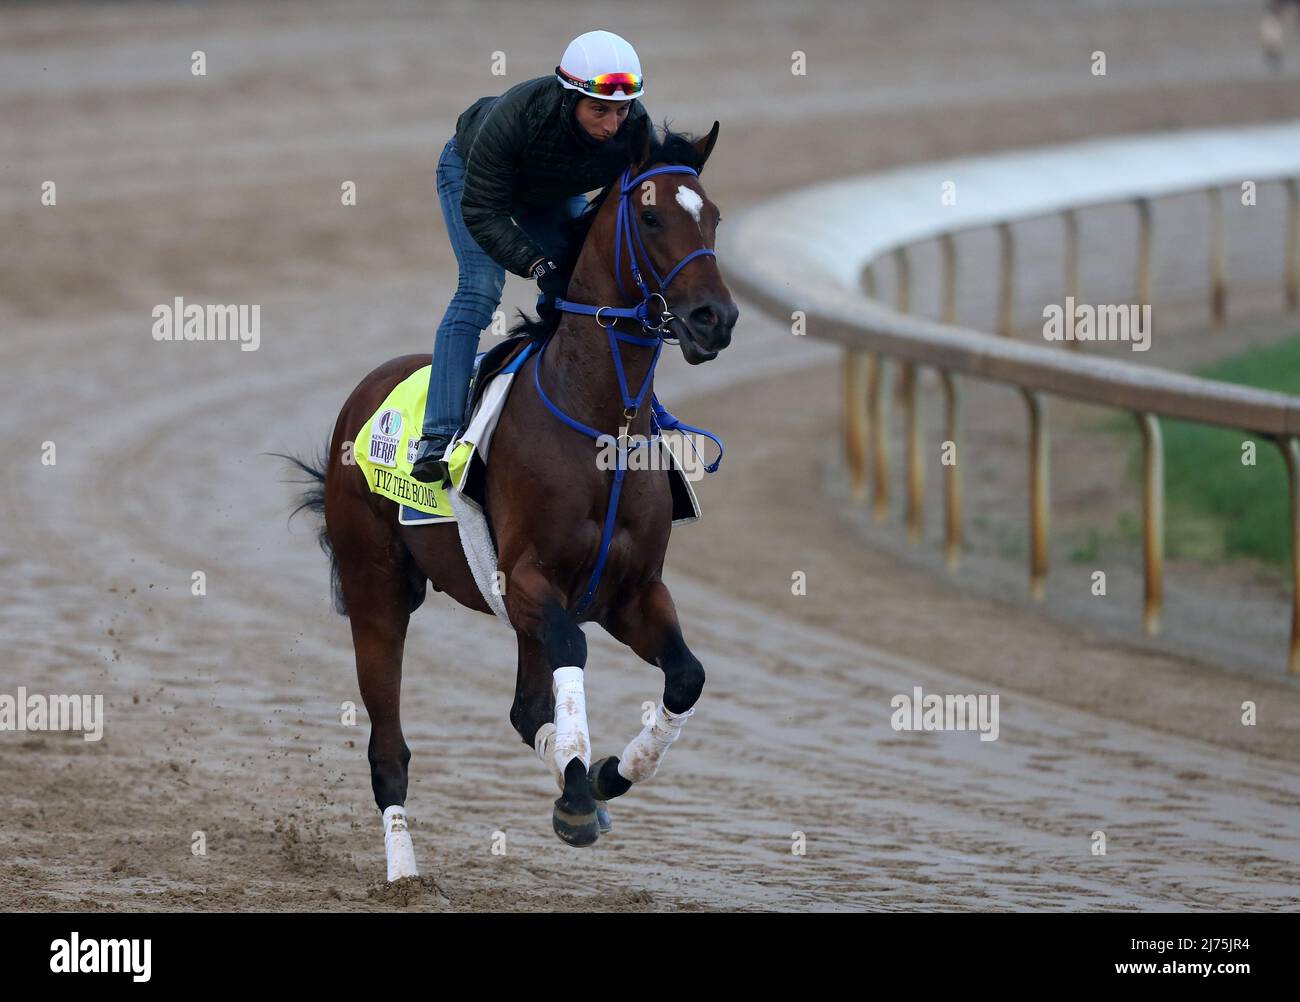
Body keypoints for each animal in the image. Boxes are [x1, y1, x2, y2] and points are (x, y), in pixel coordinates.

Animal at [284, 119, 738, 883]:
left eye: (714, 217)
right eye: (650, 218)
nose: (716, 318)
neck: (602, 423)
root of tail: (364, 394)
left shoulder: (632, 590)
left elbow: (686, 677)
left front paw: (607, 775)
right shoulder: (525, 580)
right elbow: (572, 650)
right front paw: (581, 791)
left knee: (527, 710)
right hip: (377, 591)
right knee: (388, 749)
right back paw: (405, 872)